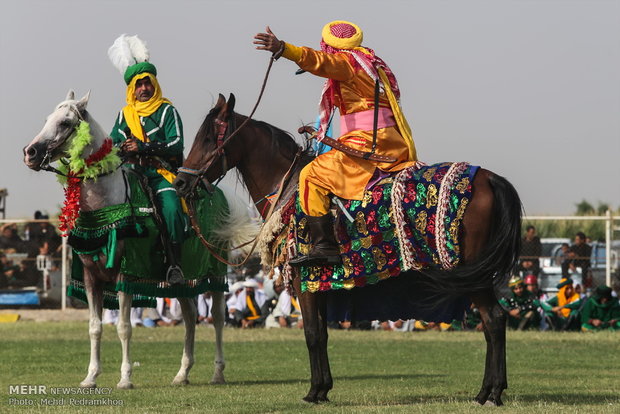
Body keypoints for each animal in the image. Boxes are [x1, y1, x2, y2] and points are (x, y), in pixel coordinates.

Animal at [24, 90, 256, 388]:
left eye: (65, 122)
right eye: (47, 119)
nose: (30, 153)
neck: (105, 204)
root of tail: (219, 193)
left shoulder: (126, 274)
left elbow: (124, 328)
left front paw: (125, 378)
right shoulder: (90, 276)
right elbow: (95, 328)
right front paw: (90, 377)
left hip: (215, 272)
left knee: (217, 317)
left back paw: (217, 372)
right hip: (182, 281)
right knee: (190, 316)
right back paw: (182, 373)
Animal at [174, 93, 524, 404]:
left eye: (209, 137)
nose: (180, 182)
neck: (287, 189)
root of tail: (489, 179)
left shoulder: (304, 281)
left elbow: (312, 334)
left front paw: (314, 392)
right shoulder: (319, 284)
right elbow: (322, 334)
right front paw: (323, 388)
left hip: (472, 275)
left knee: (494, 320)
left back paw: (491, 392)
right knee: (493, 322)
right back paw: (488, 390)